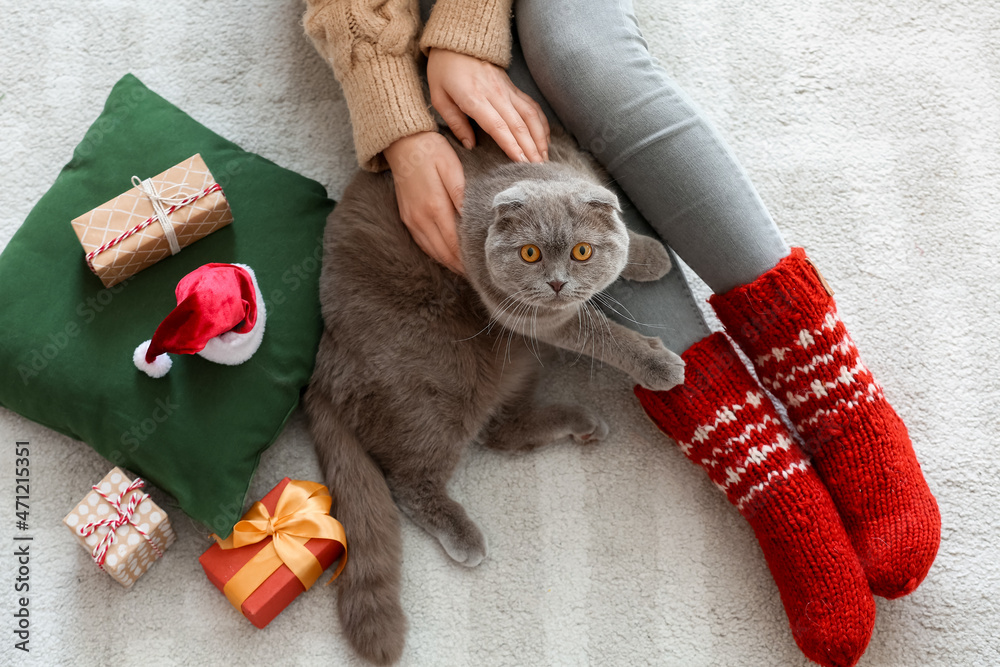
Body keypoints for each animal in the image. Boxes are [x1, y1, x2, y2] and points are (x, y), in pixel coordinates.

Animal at [302, 128, 680, 664]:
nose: (558, 283)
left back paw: (581, 423)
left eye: (583, 252)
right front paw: (659, 365)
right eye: (529, 254)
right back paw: (465, 537)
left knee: (497, 431)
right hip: (440, 389)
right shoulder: (537, 318)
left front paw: (647, 256)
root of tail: (322, 363)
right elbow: (604, 336)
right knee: (410, 482)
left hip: (508, 363)